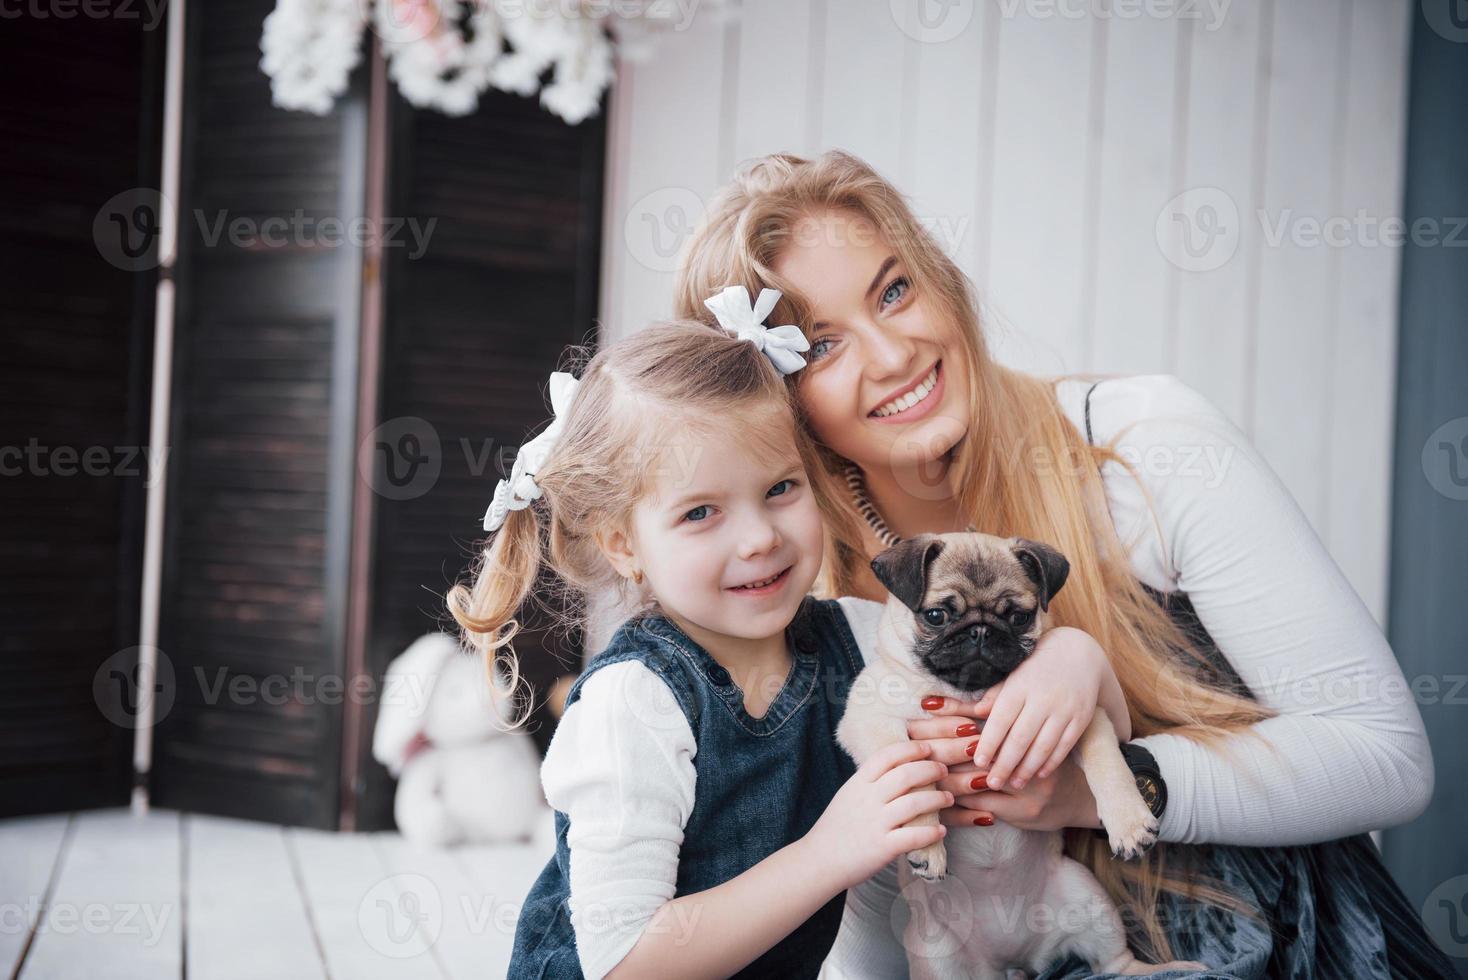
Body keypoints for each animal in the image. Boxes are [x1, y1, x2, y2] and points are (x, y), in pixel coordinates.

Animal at [839, 536, 1203, 979]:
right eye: (937, 615)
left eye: (1018, 616)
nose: (980, 630)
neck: (971, 694)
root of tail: (1015, 959)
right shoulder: (871, 720)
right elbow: (915, 775)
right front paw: (927, 847)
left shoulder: (1080, 718)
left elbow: (1107, 763)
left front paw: (1129, 822)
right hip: (937, 953)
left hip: (1089, 898)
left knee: (1114, 963)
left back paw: (1158, 968)